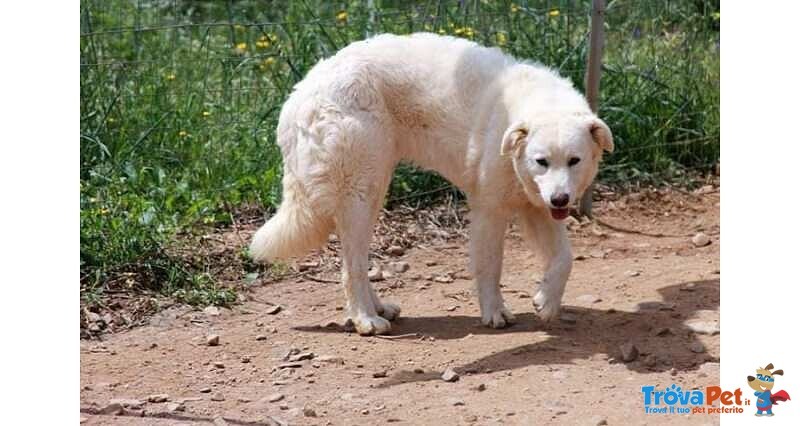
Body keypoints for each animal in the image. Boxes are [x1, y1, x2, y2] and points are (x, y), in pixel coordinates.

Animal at [250, 32, 612, 336]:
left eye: (574, 161)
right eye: (542, 162)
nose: (561, 200)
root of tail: (302, 92)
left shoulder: (535, 207)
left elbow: (564, 259)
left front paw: (546, 302)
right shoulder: (490, 210)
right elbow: (491, 267)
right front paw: (495, 312)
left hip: (374, 191)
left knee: (358, 260)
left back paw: (378, 308)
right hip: (360, 193)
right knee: (350, 267)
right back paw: (366, 319)